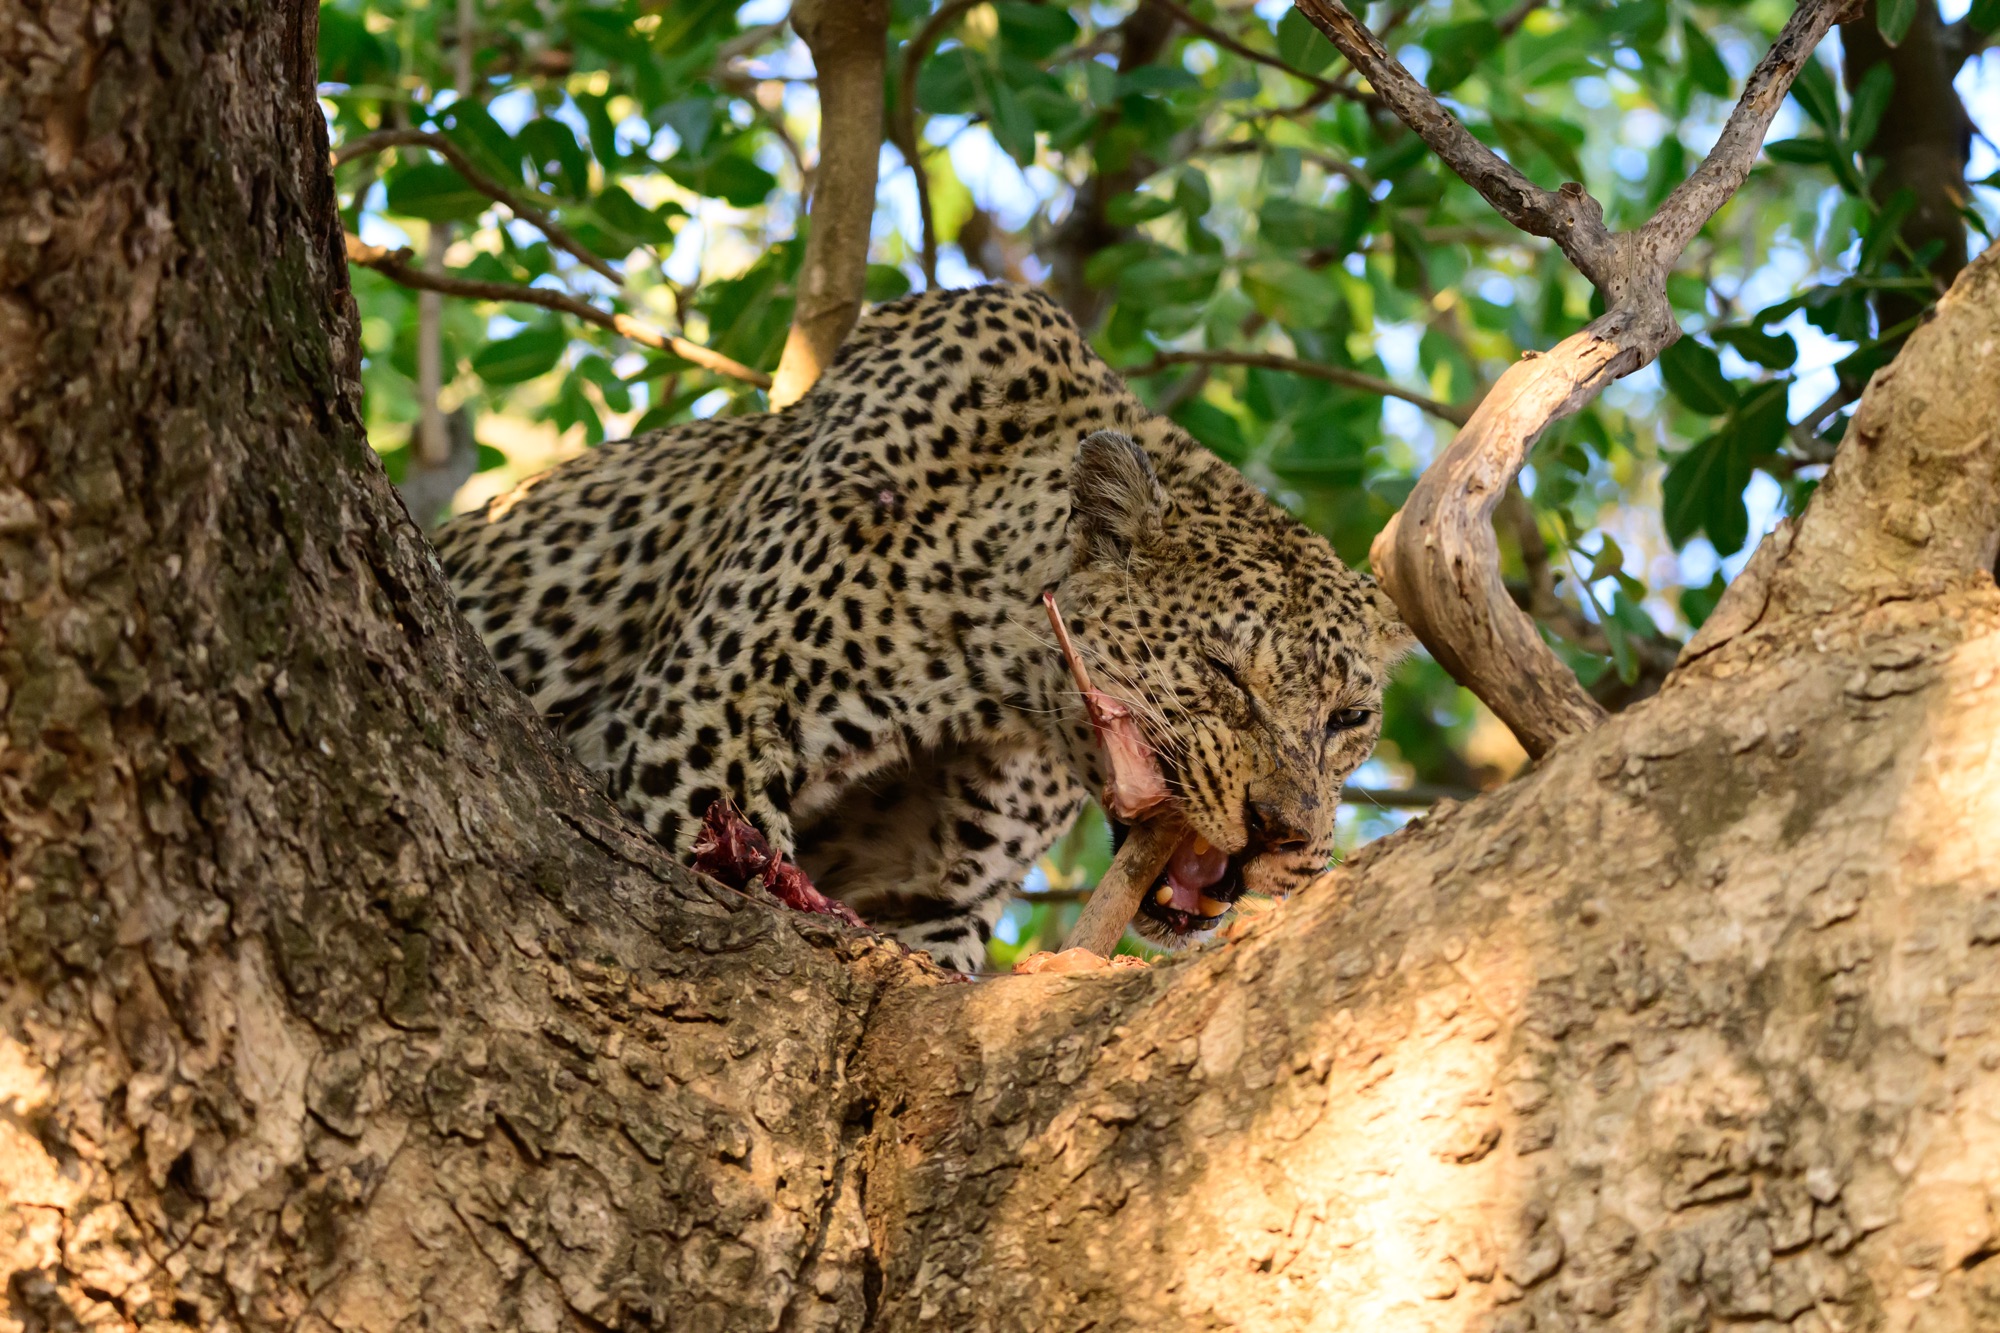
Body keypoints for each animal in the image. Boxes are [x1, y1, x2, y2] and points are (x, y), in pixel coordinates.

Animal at [434, 283, 1411, 972]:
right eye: (1222, 668)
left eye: (1350, 719)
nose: (1285, 832)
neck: (999, 691)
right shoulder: (705, 735)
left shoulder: (928, 890)